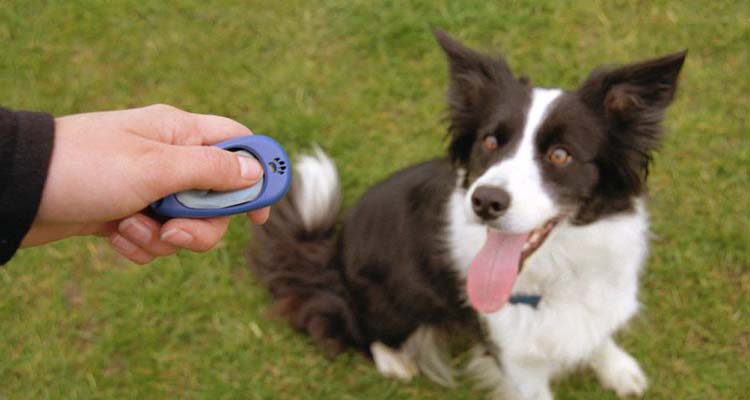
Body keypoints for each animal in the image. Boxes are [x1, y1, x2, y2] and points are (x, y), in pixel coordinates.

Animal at [247, 29, 688, 398]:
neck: (558, 270)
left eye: (560, 155)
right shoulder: (514, 359)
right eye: (490, 141)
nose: (485, 201)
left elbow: (598, 335)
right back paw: (395, 361)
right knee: (352, 326)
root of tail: (333, 254)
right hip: (389, 301)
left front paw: (619, 368)